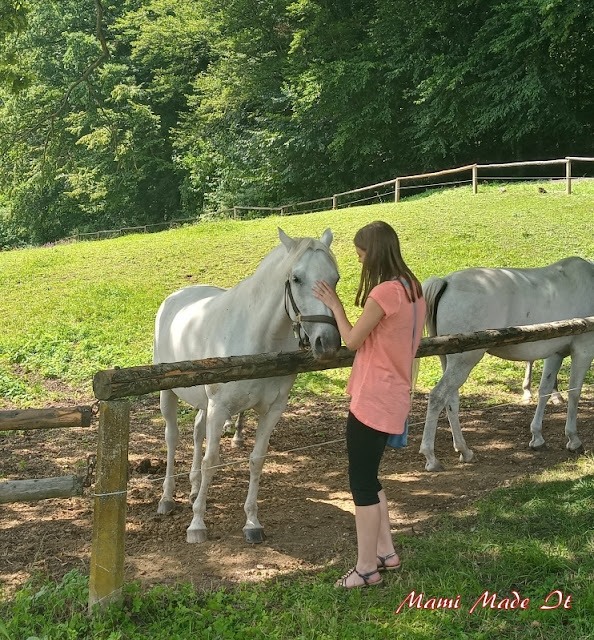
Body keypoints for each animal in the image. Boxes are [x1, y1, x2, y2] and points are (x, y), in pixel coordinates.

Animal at [153, 228, 340, 544]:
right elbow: (212, 461)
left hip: (203, 403)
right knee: (172, 438)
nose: (327, 343)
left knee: (196, 433)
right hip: (169, 394)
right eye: (296, 278)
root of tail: (174, 298)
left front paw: (252, 522)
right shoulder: (219, 409)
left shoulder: (272, 410)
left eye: (335, 278)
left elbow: (256, 460)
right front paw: (197, 524)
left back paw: (193, 489)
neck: (258, 338)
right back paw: (167, 498)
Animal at [416, 258, 592, 472]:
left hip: (449, 360)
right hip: (464, 362)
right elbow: (574, 393)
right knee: (437, 397)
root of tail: (446, 282)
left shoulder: (555, 354)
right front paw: (573, 439)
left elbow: (545, 390)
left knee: (451, 400)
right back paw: (431, 457)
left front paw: (537, 437)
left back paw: (464, 450)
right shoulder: (583, 351)